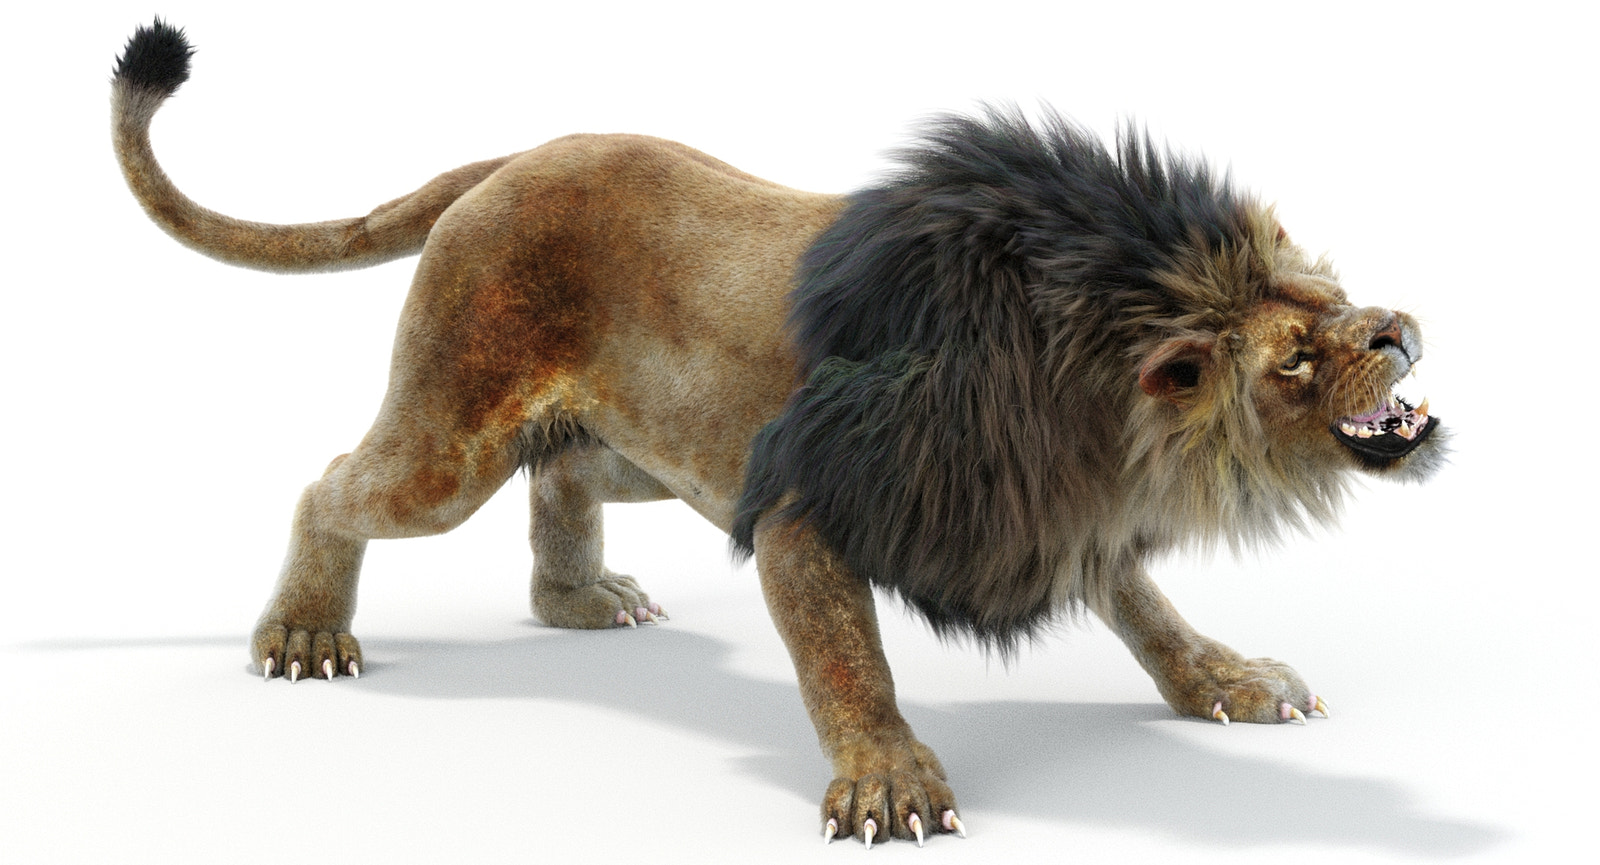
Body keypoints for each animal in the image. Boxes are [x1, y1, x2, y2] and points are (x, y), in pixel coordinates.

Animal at [112, 20, 1445, 847]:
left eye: (1329, 295)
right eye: (1298, 353)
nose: (1397, 326)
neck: (1100, 412)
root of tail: (519, 153)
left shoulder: (1059, 518)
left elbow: (1152, 614)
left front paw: (1227, 681)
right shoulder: (806, 514)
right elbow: (851, 662)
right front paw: (886, 782)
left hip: (660, 452)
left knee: (564, 475)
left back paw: (580, 599)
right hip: (454, 443)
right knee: (334, 483)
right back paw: (303, 631)